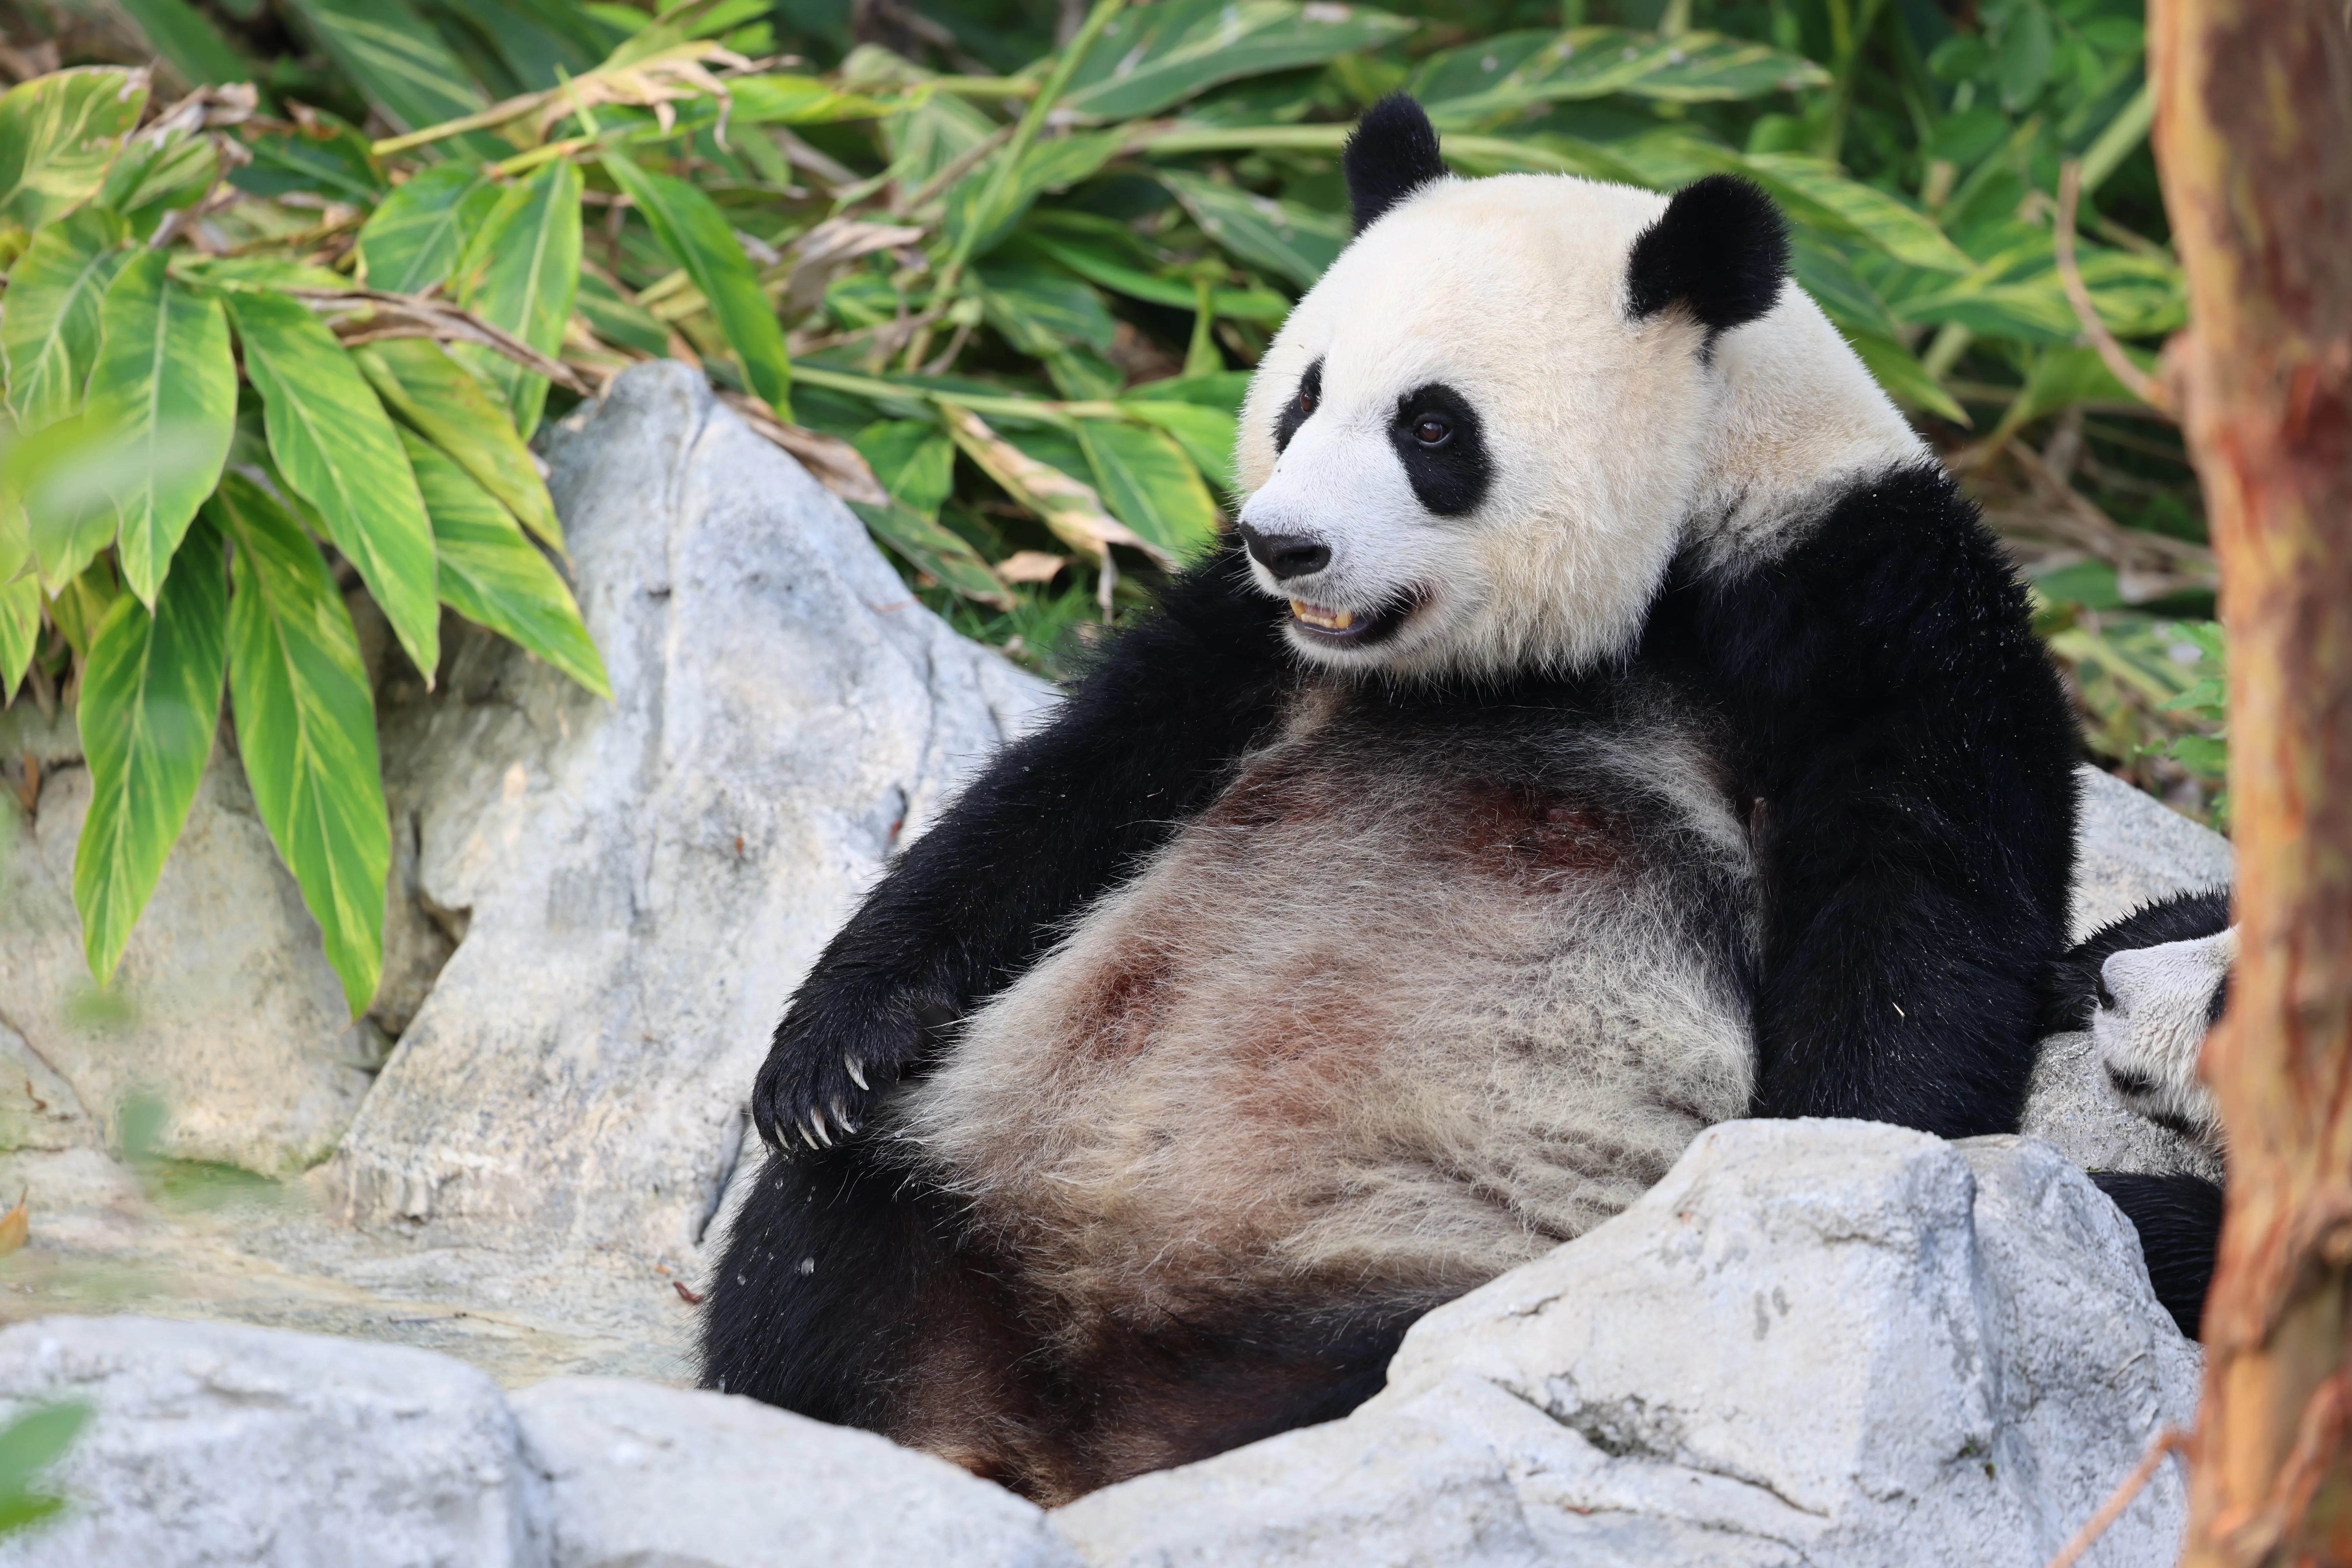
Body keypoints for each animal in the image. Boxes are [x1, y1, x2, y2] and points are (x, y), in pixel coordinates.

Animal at [700, 95, 2082, 1504]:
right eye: (1303, 396)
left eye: (1431, 429)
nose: (1287, 543)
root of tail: (1078, 1433)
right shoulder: (1249, 645)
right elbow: (1079, 784)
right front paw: (826, 1055)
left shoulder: (1871, 602)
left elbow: (1915, 930)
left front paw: (1820, 1177)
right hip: (971, 1176)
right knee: (825, 1247)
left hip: (1431, 1262)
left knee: (1395, 1377)